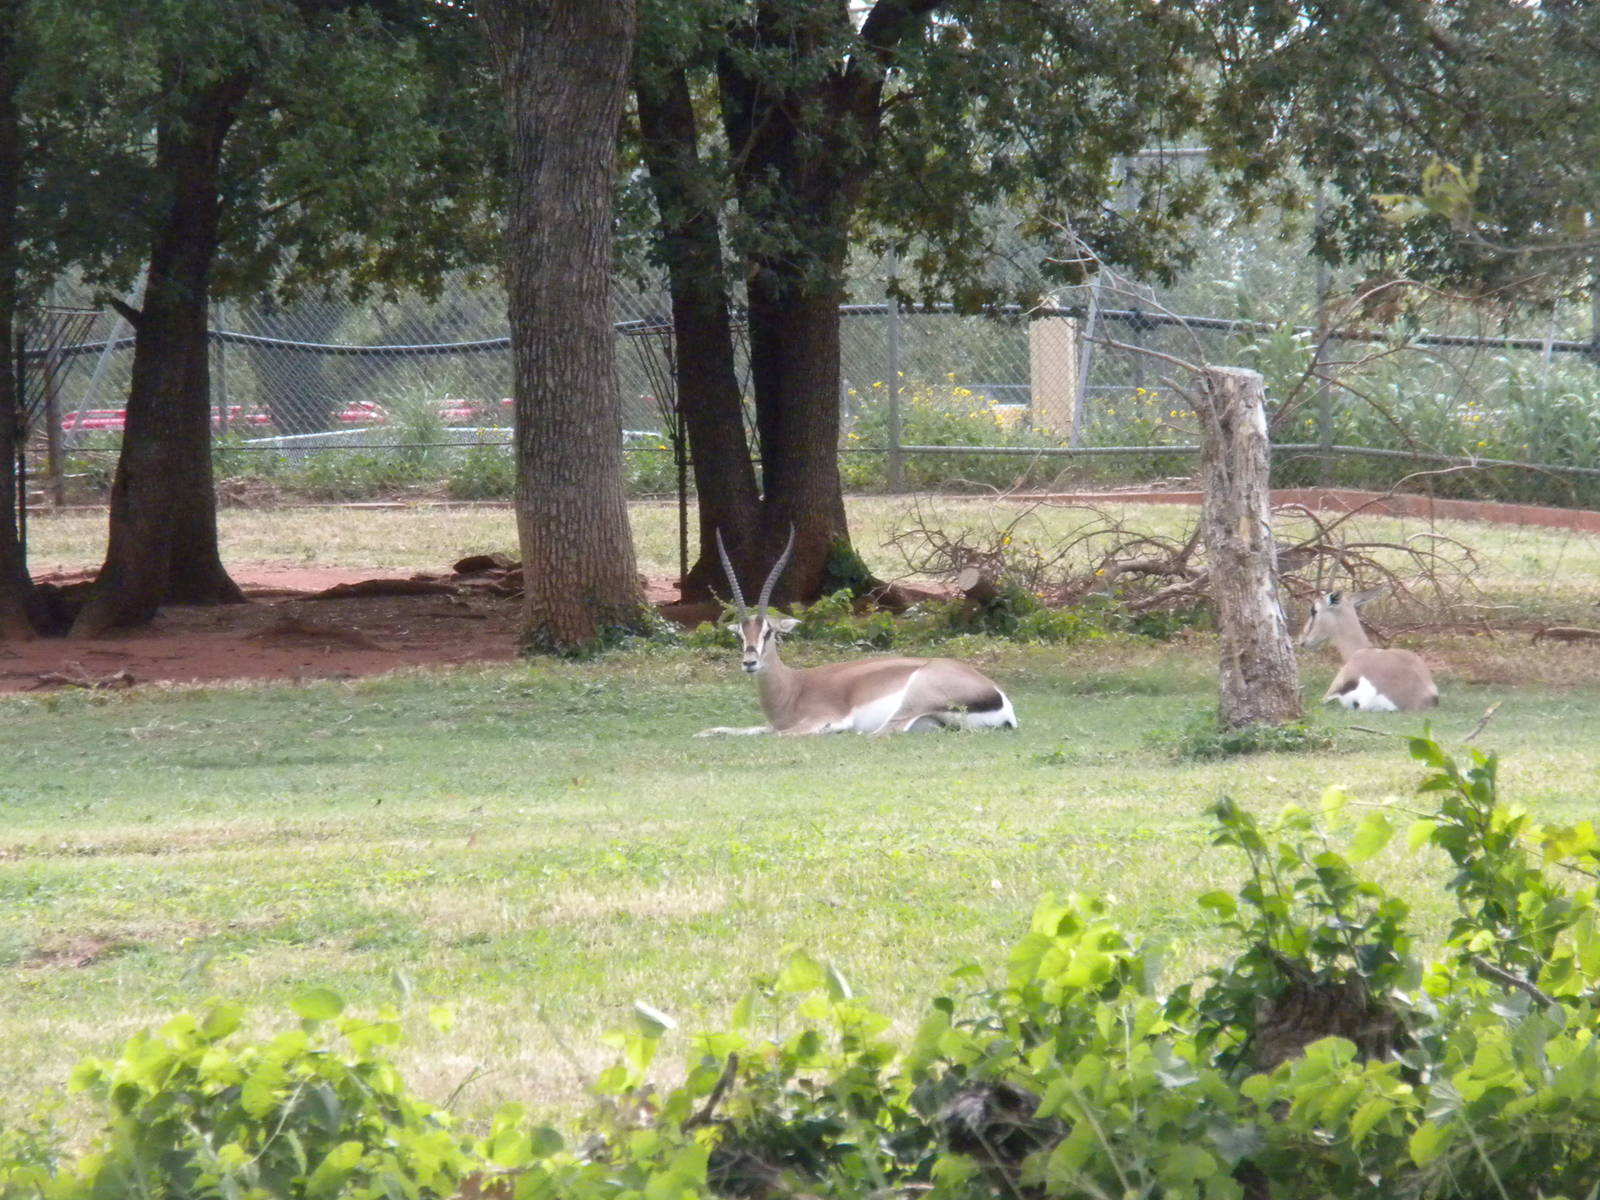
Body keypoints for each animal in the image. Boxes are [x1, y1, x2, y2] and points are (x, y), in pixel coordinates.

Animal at [696, 529, 1019, 736]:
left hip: (913, 698)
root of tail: (999, 698)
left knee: (882, 732)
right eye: (740, 634)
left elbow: (783, 734)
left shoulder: (823, 719)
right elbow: (721, 729)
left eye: (769, 632)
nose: (750, 663)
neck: (793, 687)